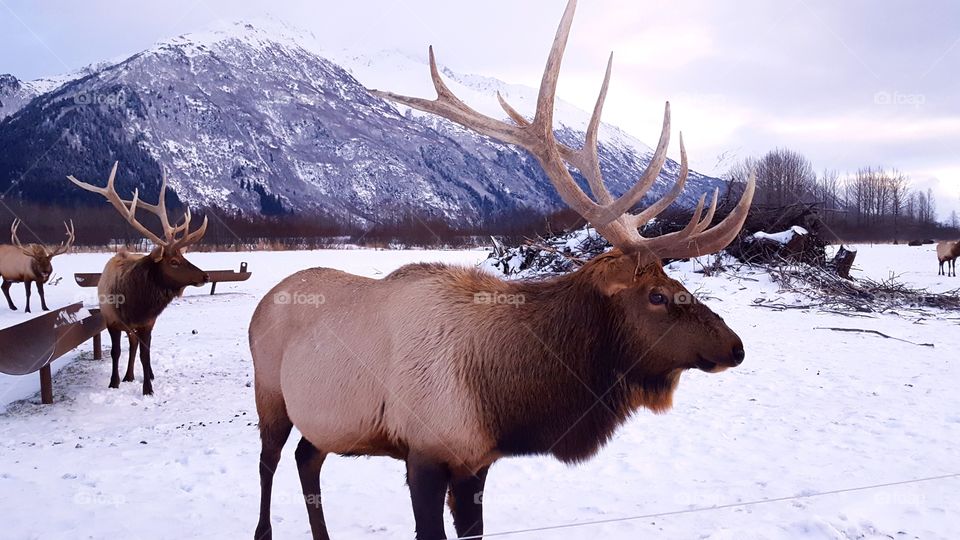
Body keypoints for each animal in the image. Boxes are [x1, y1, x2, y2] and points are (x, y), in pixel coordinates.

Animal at [67, 163, 209, 396]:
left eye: (184, 256)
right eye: (174, 261)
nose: (205, 275)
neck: (134, 303)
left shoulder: (147, 322)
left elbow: (145, 354)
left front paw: (148, 388)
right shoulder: (111, 320)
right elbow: (116, 352)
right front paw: (114, 382)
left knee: (140, 347)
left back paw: (141, 374)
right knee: (131, 344)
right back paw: (128, 375)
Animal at [249, 1, 756, 538]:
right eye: (656, 295)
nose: (736, 346)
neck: (501, 395)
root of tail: (263, 302)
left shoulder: (477, 461)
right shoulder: (423, 453)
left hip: (327, 421)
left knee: (307, 458)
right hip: (270, 395)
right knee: (269, 460)